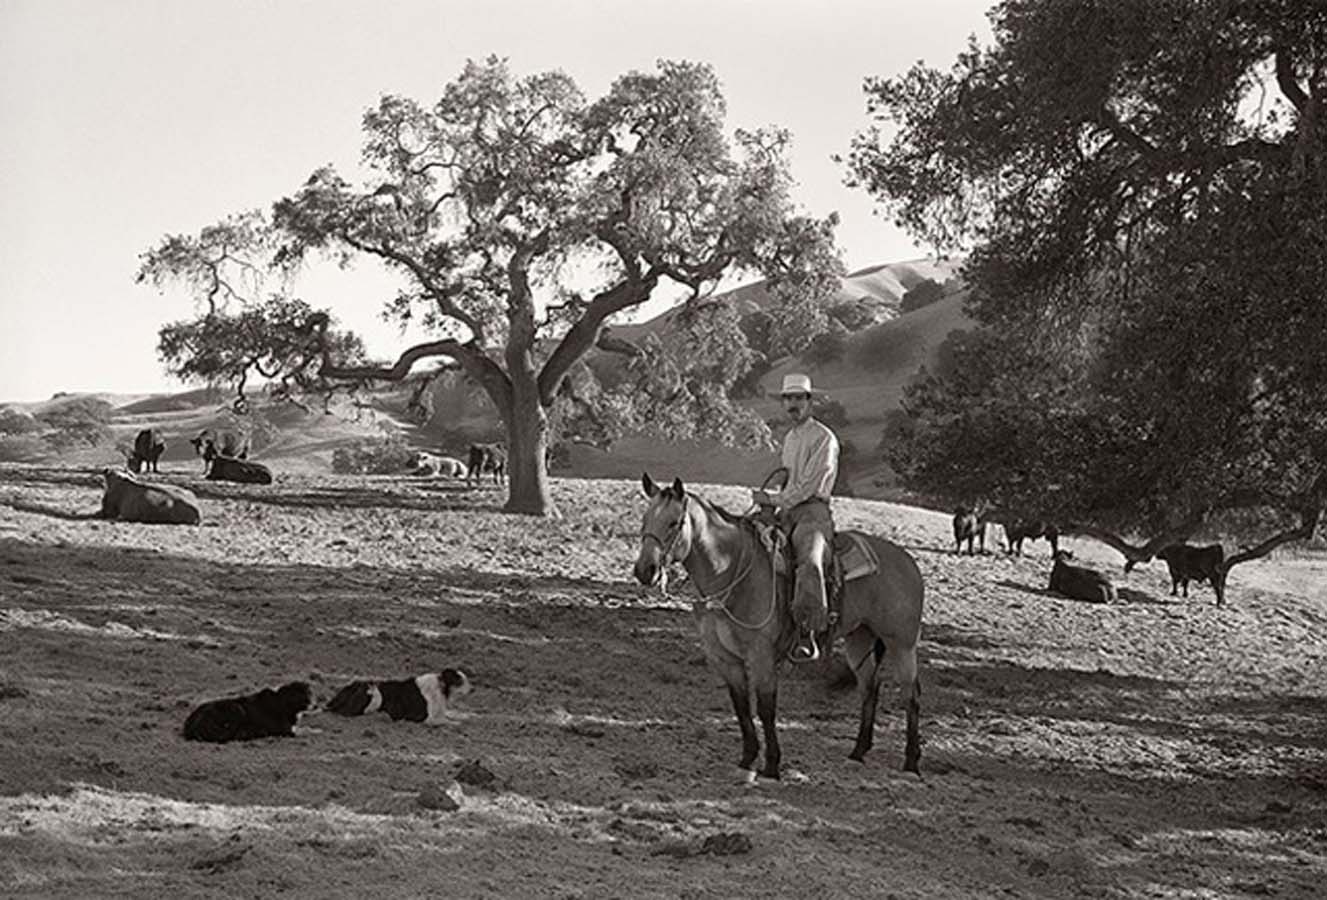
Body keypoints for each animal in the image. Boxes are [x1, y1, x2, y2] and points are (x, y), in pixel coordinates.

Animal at [323, 669, 469, 727]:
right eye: (460, 681)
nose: (472, 689)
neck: (441, 687)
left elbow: (450, 718)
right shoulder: (424, 718)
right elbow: (446, 721)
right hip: (375, 694)